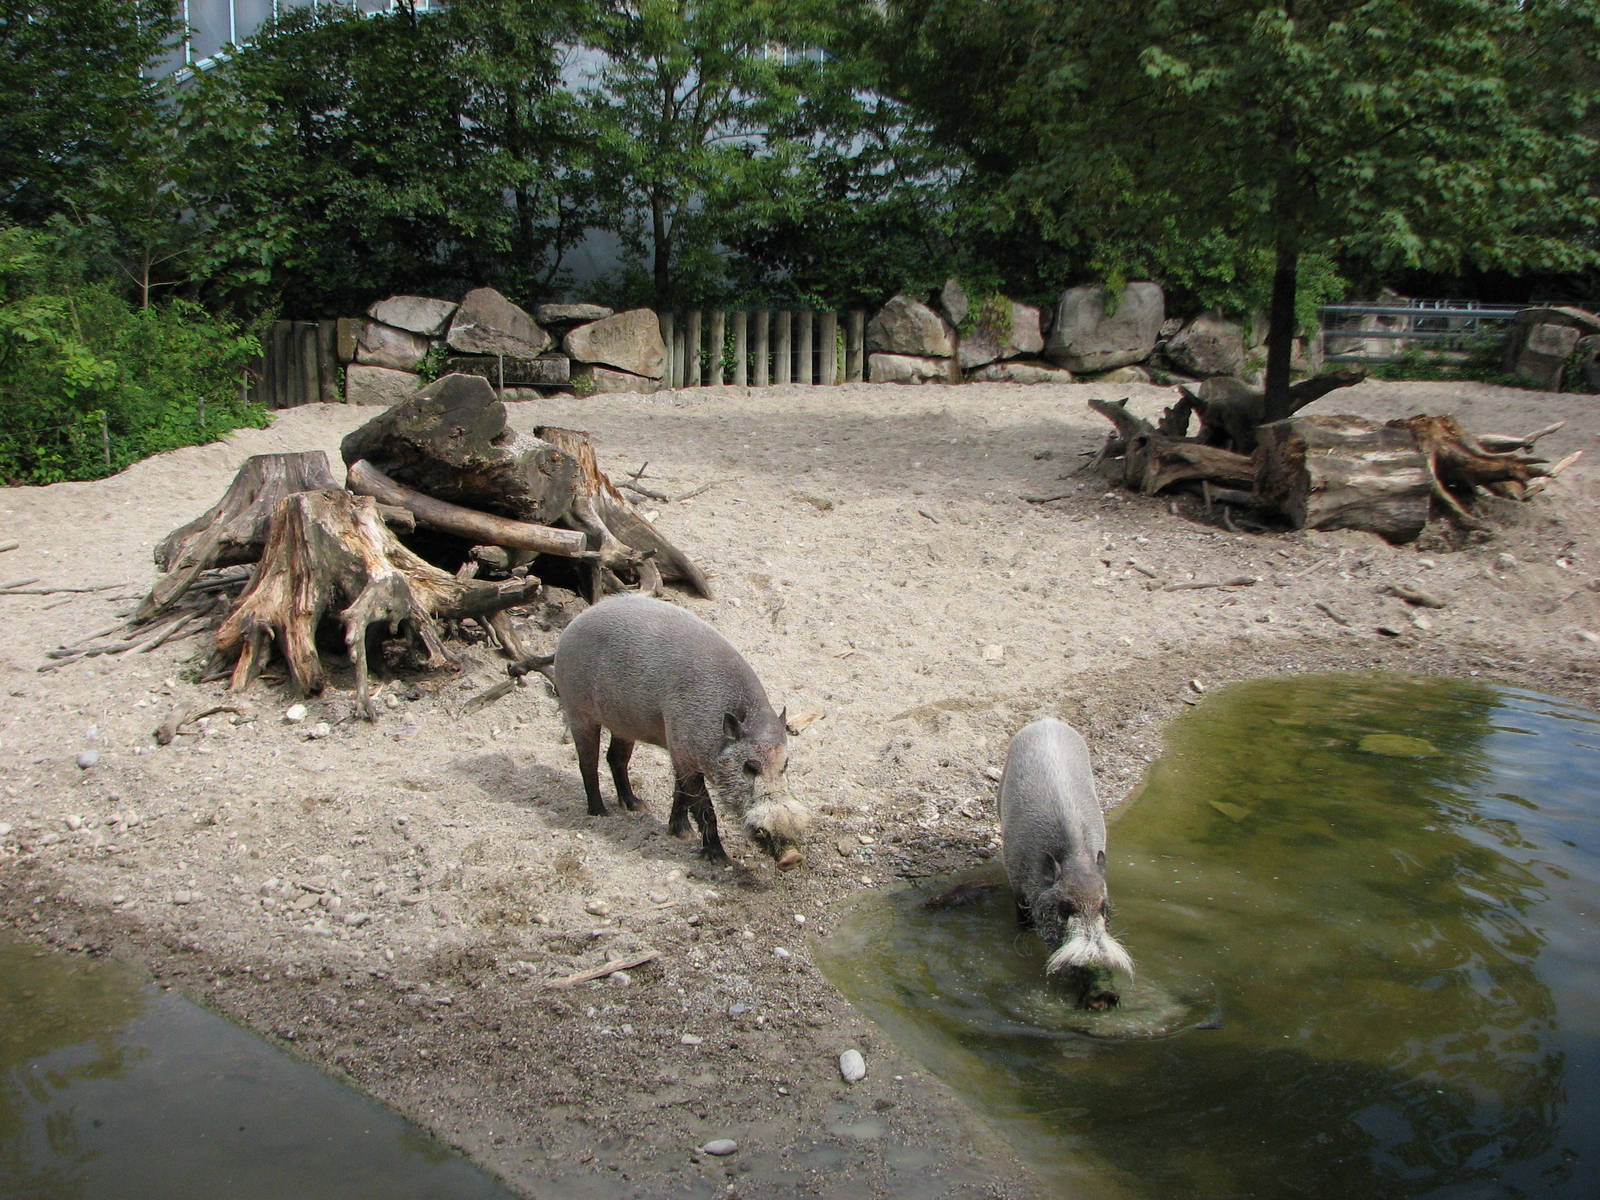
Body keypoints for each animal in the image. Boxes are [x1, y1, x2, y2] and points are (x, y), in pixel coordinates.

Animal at [534, 594, 810, 870]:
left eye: (785, 764)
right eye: (750, 767)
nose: (792, 858)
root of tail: (568, 631)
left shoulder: (679, 751)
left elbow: (680, 792)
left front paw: (681, 833)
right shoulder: (684, 752)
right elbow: (703, 806)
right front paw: (718, 857)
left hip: (623, 725)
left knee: (616, 758)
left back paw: (637, 806)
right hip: (578, 711)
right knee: (588, 762)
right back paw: (600, 812)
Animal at [998, 718, 1133, 1002]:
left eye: (1104, 908)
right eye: (1064, 908)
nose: (1103, 997)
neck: (1074, 859)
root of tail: (1046, 721)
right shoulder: (1018, 888)